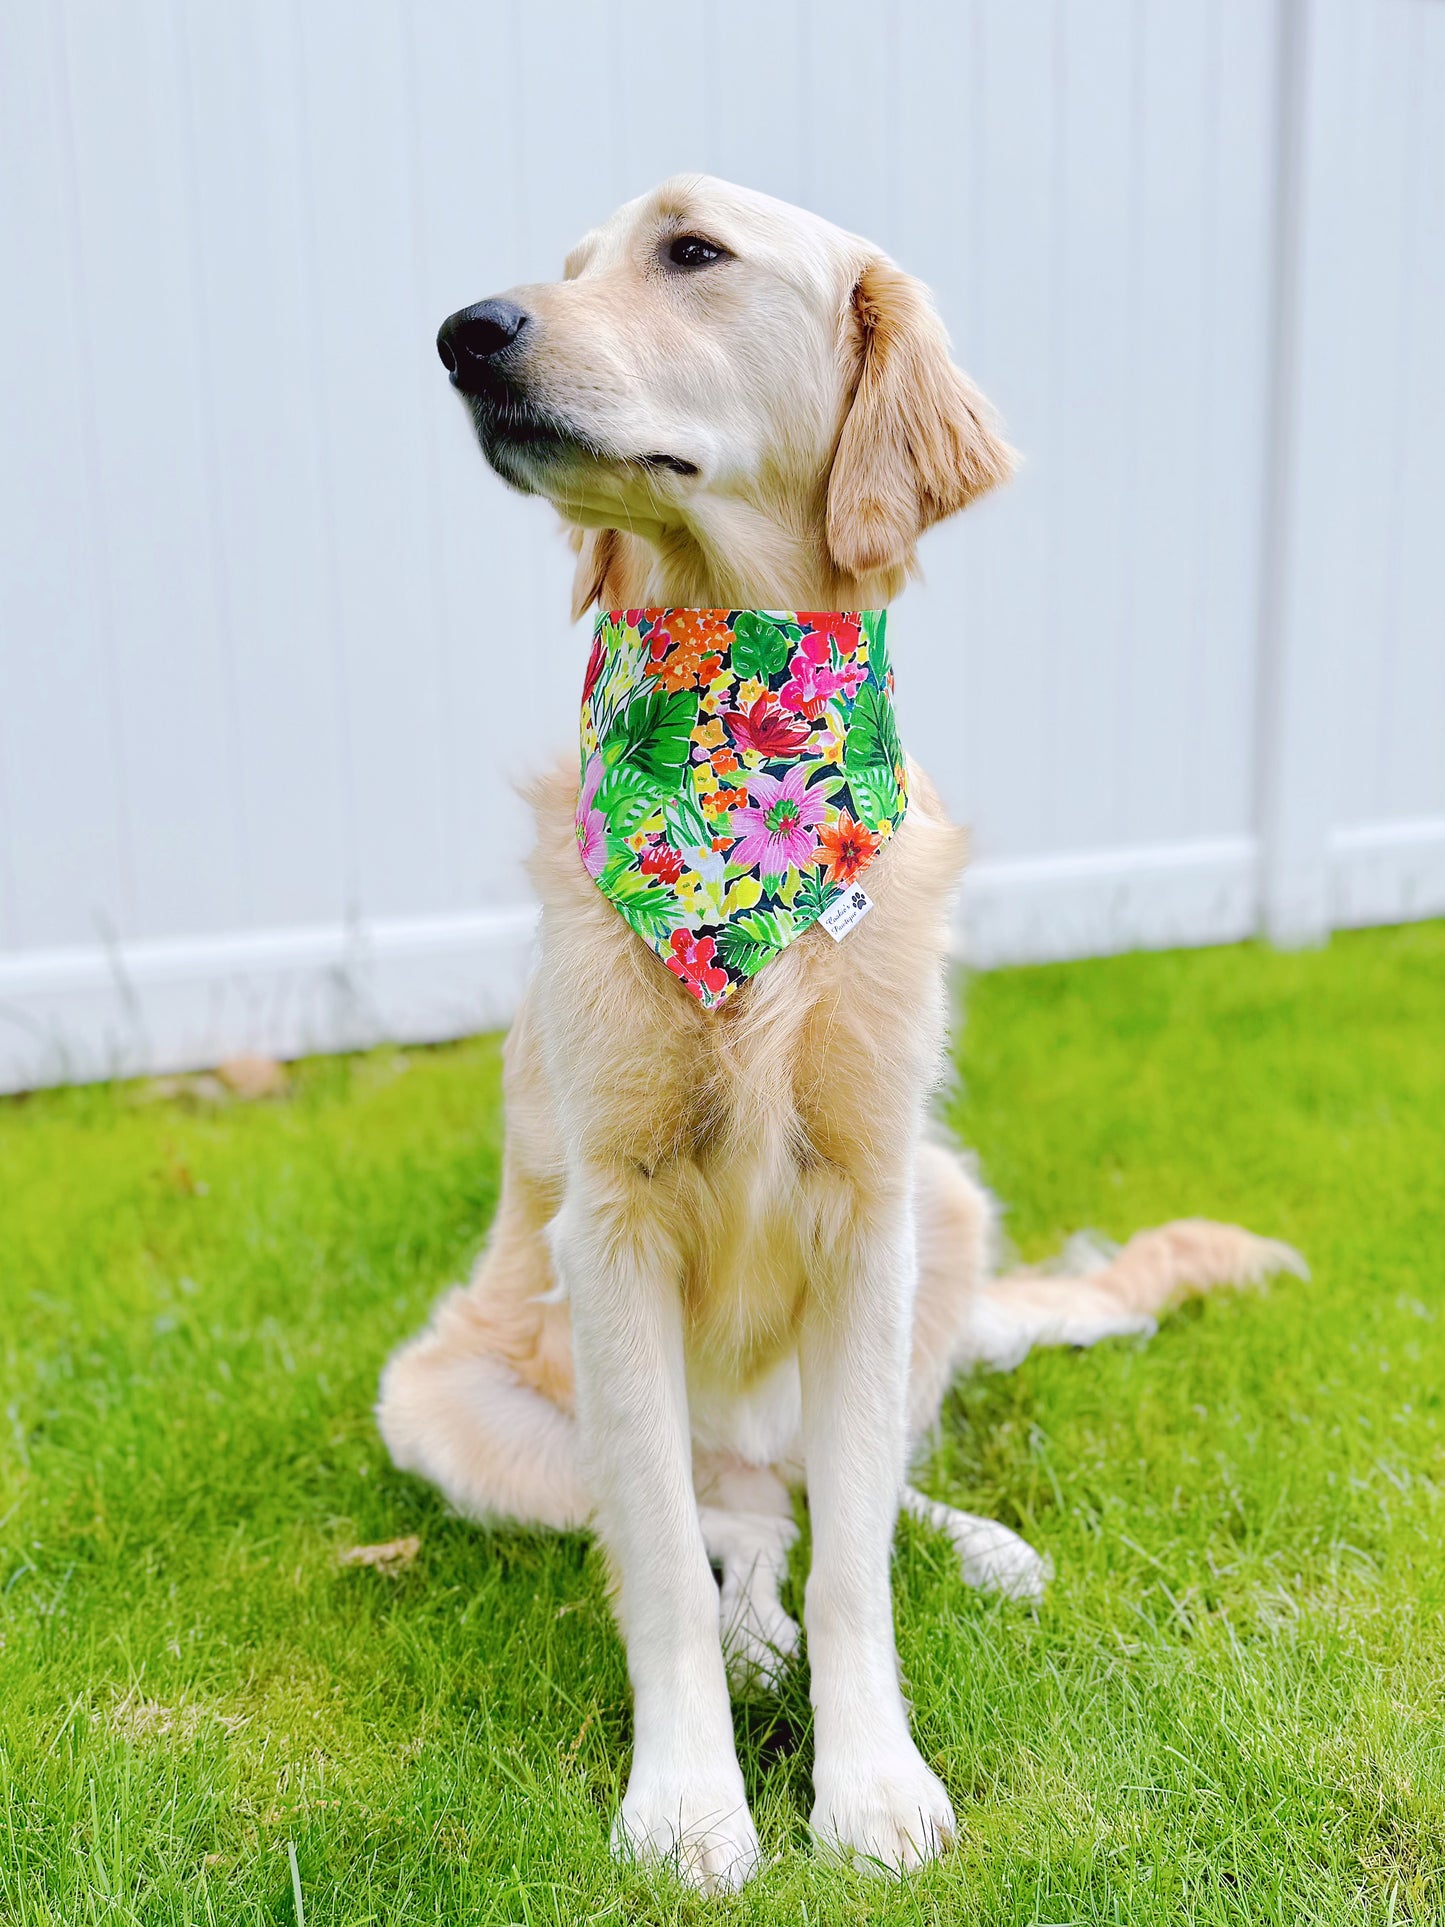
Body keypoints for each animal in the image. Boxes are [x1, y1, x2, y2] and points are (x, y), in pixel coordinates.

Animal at [379, 181, 1310, 1896]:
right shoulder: (609, 1224)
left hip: (945, 1201)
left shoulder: (872, 1198)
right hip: (447, 1400)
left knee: (833, 1493)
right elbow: (663, 1566)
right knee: (738, 1515)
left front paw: (871, 1780)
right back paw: (754, 1633)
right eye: (568, 265)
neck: (735, 741)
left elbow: (860, 1561)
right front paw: (690, 1801)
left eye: (690, 251)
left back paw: (979, 1546)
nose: (468, 332)